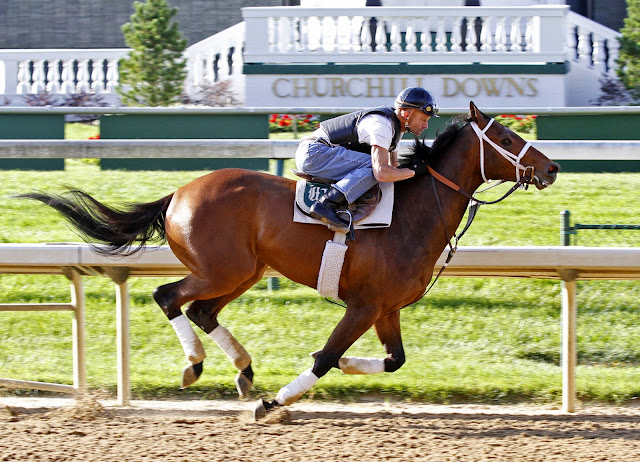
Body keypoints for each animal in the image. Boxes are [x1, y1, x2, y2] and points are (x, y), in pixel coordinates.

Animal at [18, 102, 559, 419]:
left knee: (201, 310)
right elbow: (324, 357)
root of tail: (179, 194)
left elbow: (393, 360)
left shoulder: (386, 307)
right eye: (507, 139)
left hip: (247, 271)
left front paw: (347, 367)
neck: (412, 214)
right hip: (222, 269)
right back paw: (196, 365)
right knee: (168, 296)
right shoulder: (363, 306)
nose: (551, 168)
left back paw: (242, 371)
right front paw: (274, 402)